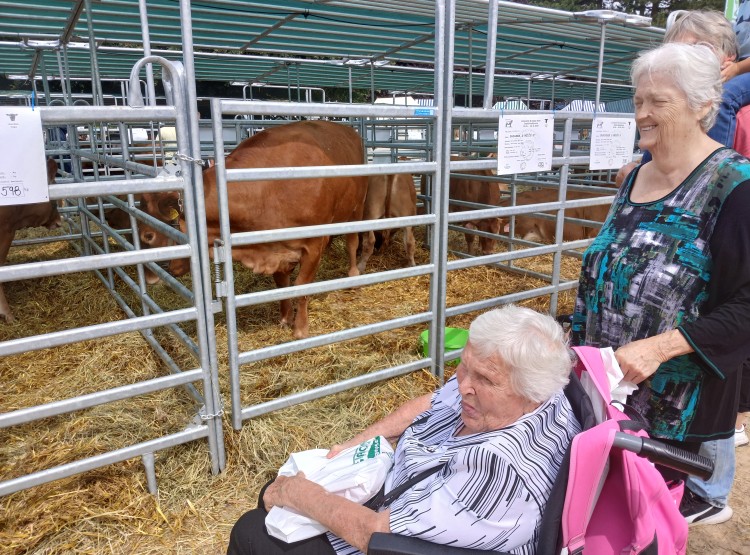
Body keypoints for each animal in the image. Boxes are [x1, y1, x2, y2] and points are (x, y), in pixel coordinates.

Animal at [140, 121, 368, 338]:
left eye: (148, 235)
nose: (151, 277)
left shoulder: (312, 246)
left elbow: (301, 287)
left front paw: (300, 329)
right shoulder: (275, 248)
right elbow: (282, 286)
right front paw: (285, 319)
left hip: (356, 208)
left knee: (352, 242)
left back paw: (353, 275)